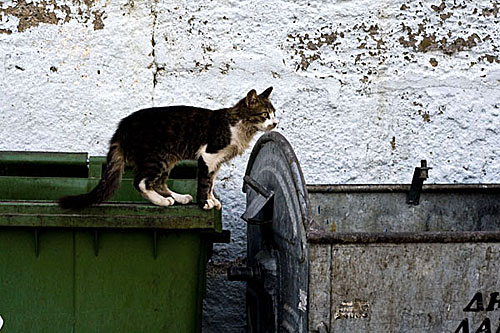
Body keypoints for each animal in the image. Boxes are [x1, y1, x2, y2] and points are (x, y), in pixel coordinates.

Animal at [59, 87, 278, 209]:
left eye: (274, 114)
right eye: (265, 115)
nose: (275, 123)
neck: (239, 128)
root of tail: (122, 127)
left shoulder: (217, 162)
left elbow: (211, 183)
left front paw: (211, 200)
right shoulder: (208, 156)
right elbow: (204, 183)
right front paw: (204, 203)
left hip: (167, 158)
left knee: (158, 183)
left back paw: (179, 198)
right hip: (156, 157)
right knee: (141, 182)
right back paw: (162, 202)